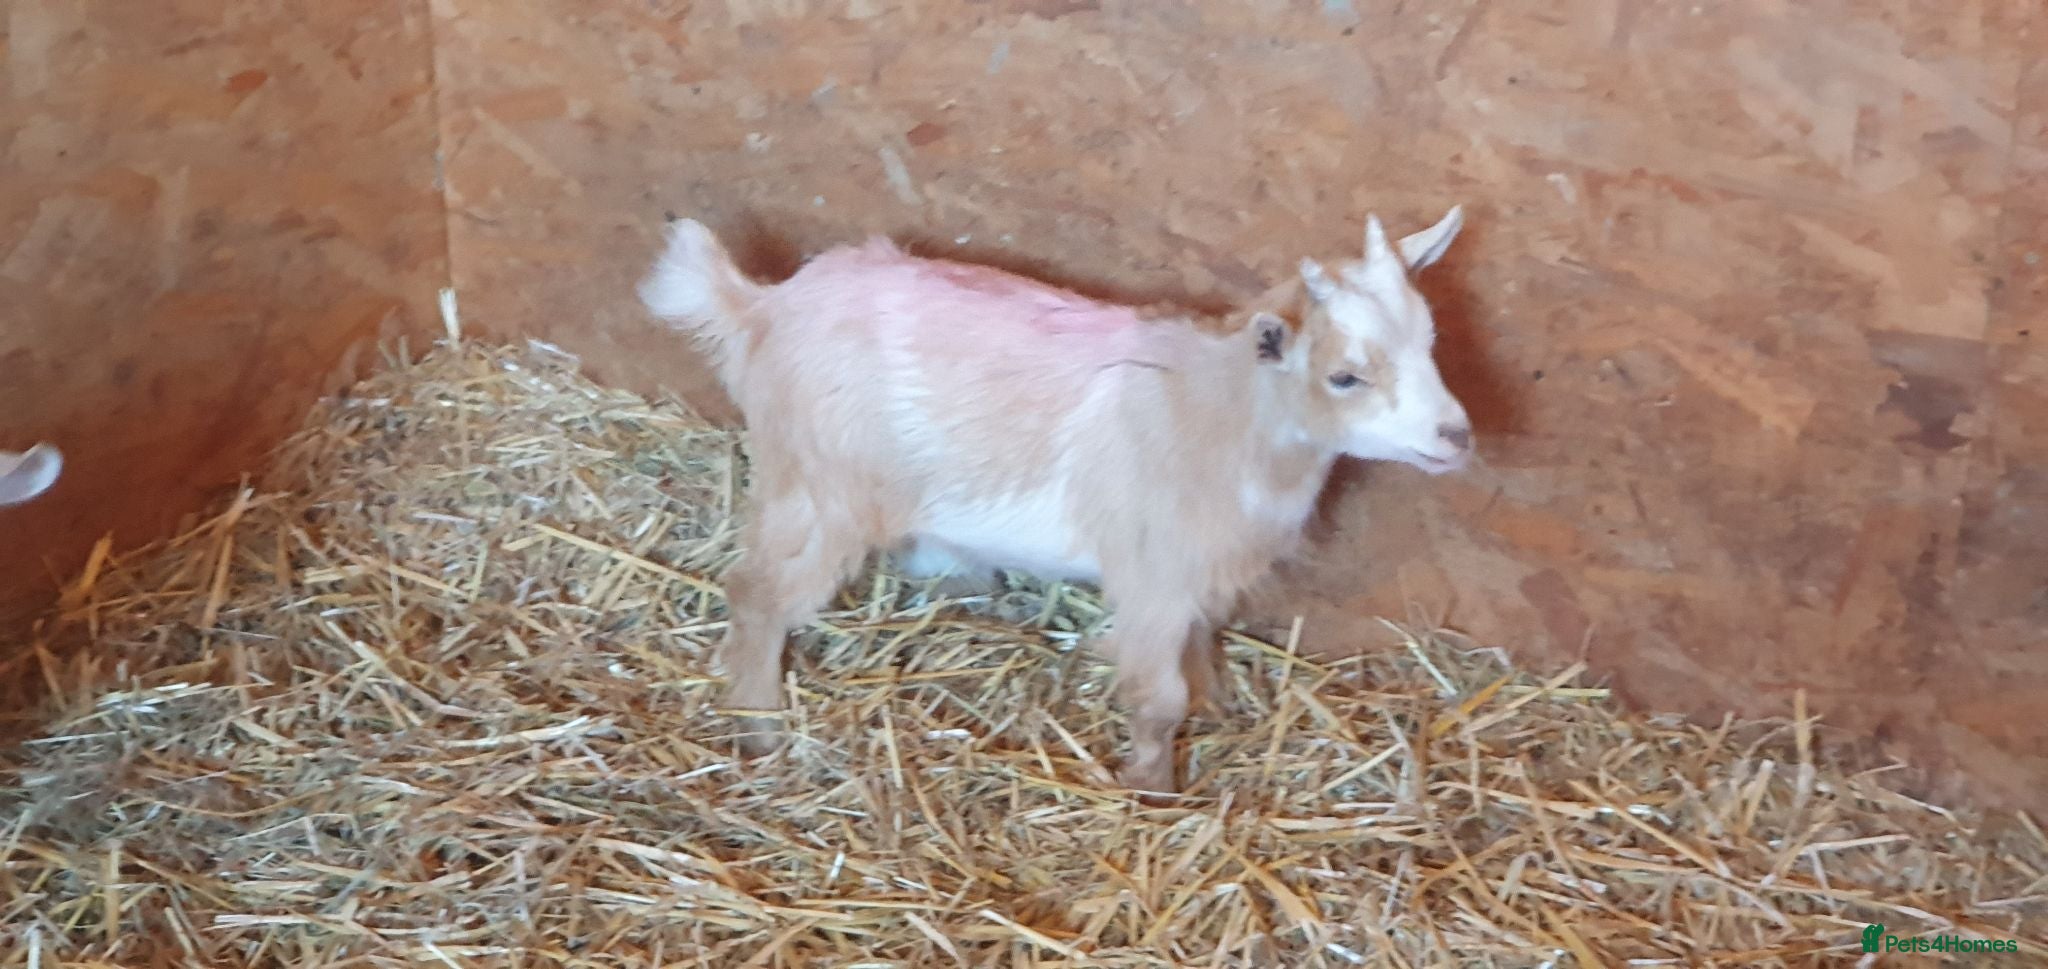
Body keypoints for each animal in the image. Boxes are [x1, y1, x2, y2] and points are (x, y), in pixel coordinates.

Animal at [639, 210, 1471, 792]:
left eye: (1432, 341)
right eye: (1345, 375)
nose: (1456, 435)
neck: (1220, 411)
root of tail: (760, 307)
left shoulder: (1195, 574)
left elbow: (1201, 652)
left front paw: (1216, 706)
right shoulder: (1151, 574)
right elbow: (1157, 696)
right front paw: (1153, 788)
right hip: (820, 487)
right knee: (757, 590)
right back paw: (760, 726)